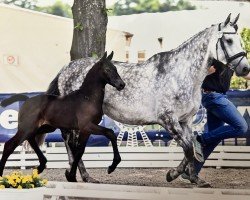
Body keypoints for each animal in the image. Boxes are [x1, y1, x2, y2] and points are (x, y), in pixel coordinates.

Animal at [46, 14, 249, 184]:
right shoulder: (168, 120)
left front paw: (193, 178)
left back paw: (77, 175)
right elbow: (188, 148)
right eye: (228, 40)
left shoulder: (185, 121)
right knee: (73, 144)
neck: (180, 74)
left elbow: (190, 147)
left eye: (240, 40)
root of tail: (65, 70)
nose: (245, 68)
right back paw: (82, 176)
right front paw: (172, 175)